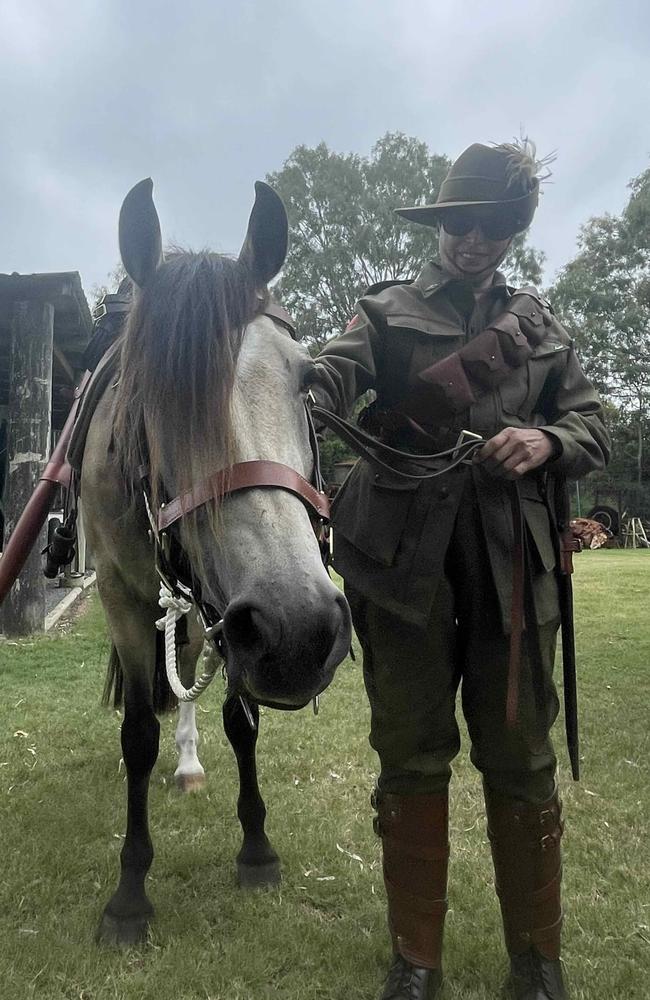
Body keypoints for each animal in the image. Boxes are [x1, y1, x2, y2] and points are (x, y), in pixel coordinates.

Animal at [81, 176, 354, 948]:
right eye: (151, 393)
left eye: (307, 381)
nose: (301, 632)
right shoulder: (121, 595)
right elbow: (136, 733)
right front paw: (129, 896)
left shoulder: (232, 614)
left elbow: (241, 718)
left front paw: (256, 849)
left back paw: (191, 762)